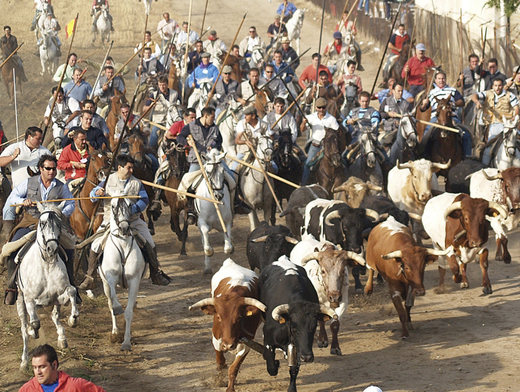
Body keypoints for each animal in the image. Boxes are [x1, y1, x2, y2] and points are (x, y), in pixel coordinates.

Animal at [16, 202, 78, 370]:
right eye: (42, 223)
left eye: (59, 224)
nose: (52, 248)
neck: (47, 263)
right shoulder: (29, 299)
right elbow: (34, 323)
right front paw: (33, 332)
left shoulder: (60, 295)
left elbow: (72, 291)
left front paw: (73, 319)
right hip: (20, 302)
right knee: (24, 328)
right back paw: (24, 361)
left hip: (53, 301)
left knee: (54, 315)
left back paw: (62, 339)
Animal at [100, 198, 145, 350]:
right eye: (113, 206)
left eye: (130, 205)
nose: (124, 228)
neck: (123, 244)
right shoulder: (110, 277)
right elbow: (114, 299)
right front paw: (118, 307)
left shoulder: (134, 281)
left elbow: (129, 312)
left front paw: (126, 341)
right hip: (104, 285)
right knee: (109, 303)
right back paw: (115, 332)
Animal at [189, 258, 266, 390]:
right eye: (218, 317)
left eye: (239, 317)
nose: (229, 345)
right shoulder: (216, 339)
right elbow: (220, 363)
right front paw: (220, 379)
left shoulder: (247, 342)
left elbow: (233, 368)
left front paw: (230, 388)